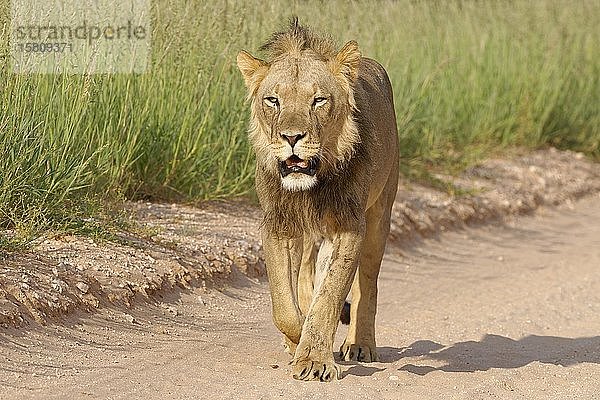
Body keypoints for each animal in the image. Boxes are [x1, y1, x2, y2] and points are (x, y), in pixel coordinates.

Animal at [238, 19, 398, 382]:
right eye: (273, 100)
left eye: (319, 100)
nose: (292, 137)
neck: (310, 189)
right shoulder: (279, 227)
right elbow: (284, 305)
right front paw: (296, 340)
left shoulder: (347, 229)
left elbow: (328, 297)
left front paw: (313, 359)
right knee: (305, 280)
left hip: (380, 216)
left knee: (367, 284)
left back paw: (360, 345)